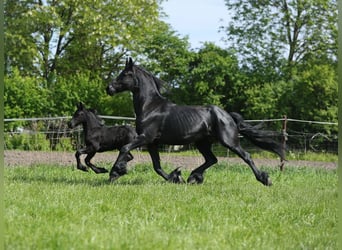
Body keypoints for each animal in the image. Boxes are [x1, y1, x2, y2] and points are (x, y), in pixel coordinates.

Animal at [106, 57, 284, 185]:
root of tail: (227, 115)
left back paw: (265, 180)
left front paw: (114, 173)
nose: (109, 88)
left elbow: (124, 148)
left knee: (246, 156)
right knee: (212, 159)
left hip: (228, 142)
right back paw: (193, 177)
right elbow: (157, 166)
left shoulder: (145, 138)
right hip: (202, 143)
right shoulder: (152, 143)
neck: (151, 107)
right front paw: (176, 177)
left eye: (125, 74)